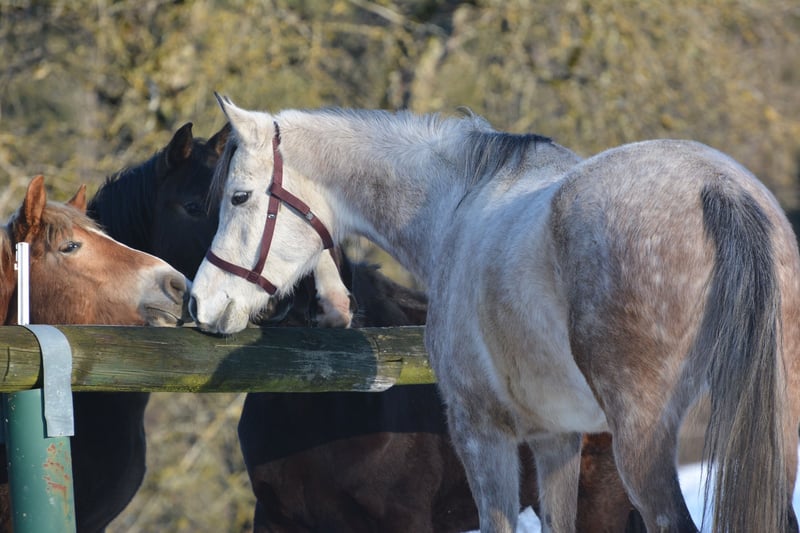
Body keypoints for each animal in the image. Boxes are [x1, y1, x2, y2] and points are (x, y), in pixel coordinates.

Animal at [191, 96, 800, 533]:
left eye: (239, 196)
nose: (202, 302)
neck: (457, 205)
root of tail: (718, 190)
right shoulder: (556, 438)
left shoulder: (481, 432)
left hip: (642, 443)